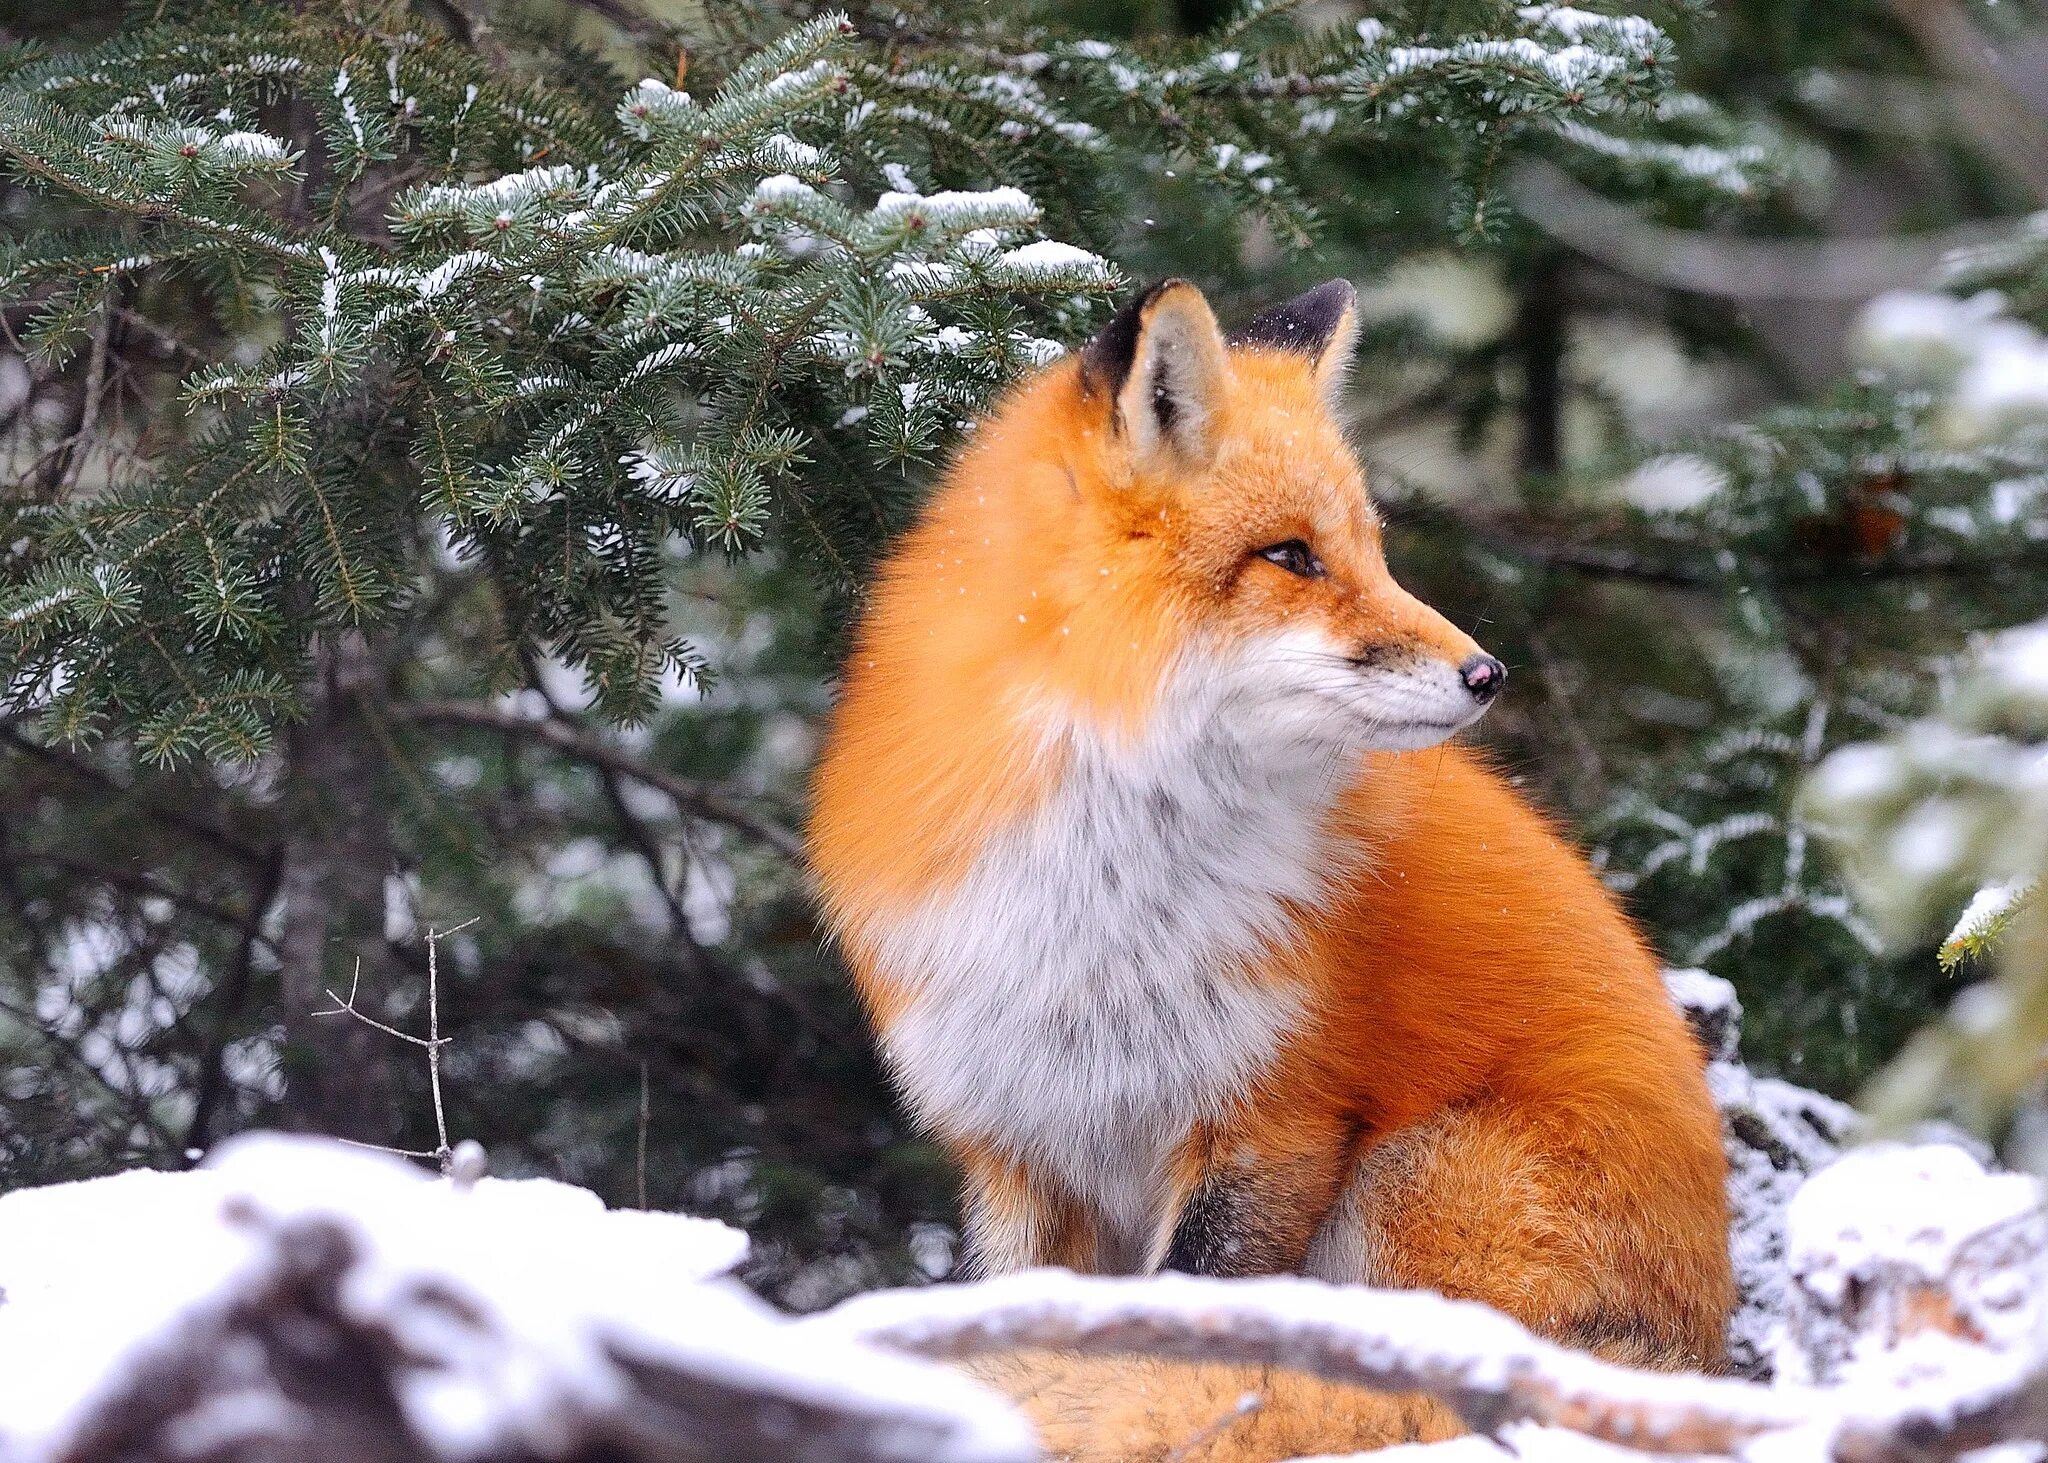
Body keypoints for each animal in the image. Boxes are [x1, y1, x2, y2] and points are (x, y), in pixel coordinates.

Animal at [806, 278, 1736, 1450]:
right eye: (1291, 555)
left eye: (1375, 550)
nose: (1489, 672)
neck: (1095, 888)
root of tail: (1702, 1357)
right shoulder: (1016, 1141)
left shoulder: (1271, 1119)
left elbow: (1185, 1329)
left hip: (1410, 1180)